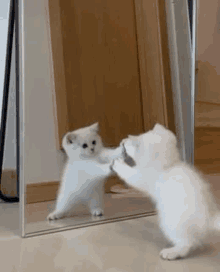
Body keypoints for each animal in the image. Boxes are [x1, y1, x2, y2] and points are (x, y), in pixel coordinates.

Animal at [111, 124, 220, 260]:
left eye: (129, 144)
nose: (122, 141)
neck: (168, 167)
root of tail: (209, 218)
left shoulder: (142, 177)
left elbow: (129, 174)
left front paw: (117, 163)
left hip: (170, 223)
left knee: (186, 244)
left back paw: (172, 252)